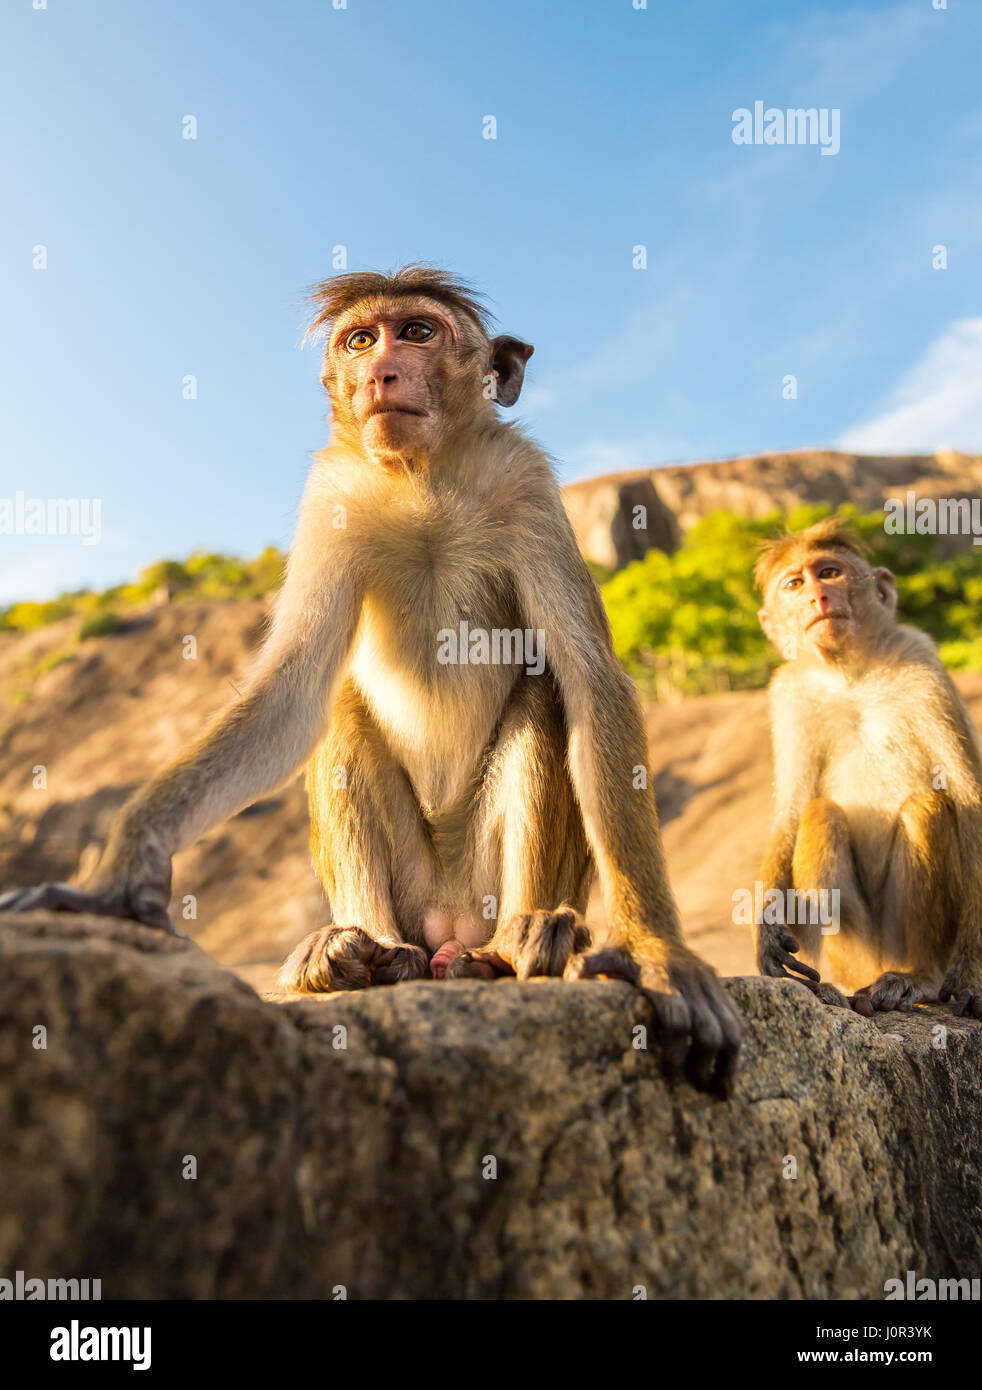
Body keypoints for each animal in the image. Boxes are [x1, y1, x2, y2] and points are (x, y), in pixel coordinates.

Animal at [0, 263, 743, 1093]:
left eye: (416, 332)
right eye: (361, 340)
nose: (379, 373)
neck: (423, 481)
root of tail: (447, 920)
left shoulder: (525, 482)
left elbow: (591, 681)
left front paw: (657, 952)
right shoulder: (333, 497)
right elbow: (292, 690)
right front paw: (120, 873)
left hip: (480, 881)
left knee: (543, 697)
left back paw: (518, 945)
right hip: (412, 888)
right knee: (343, 715)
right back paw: (359, 954)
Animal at [753, 517, 982, 1018]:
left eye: (830, 573)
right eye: (795, 584)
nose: (818, 598)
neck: (851, 674)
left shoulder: (922, 661)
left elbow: (968, 797)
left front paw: (972, 974)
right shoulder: (790, 693)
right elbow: (792, 810)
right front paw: (767, 932)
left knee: (927, 809)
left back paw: (915, 977)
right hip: (853, 951)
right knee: (820, 814)